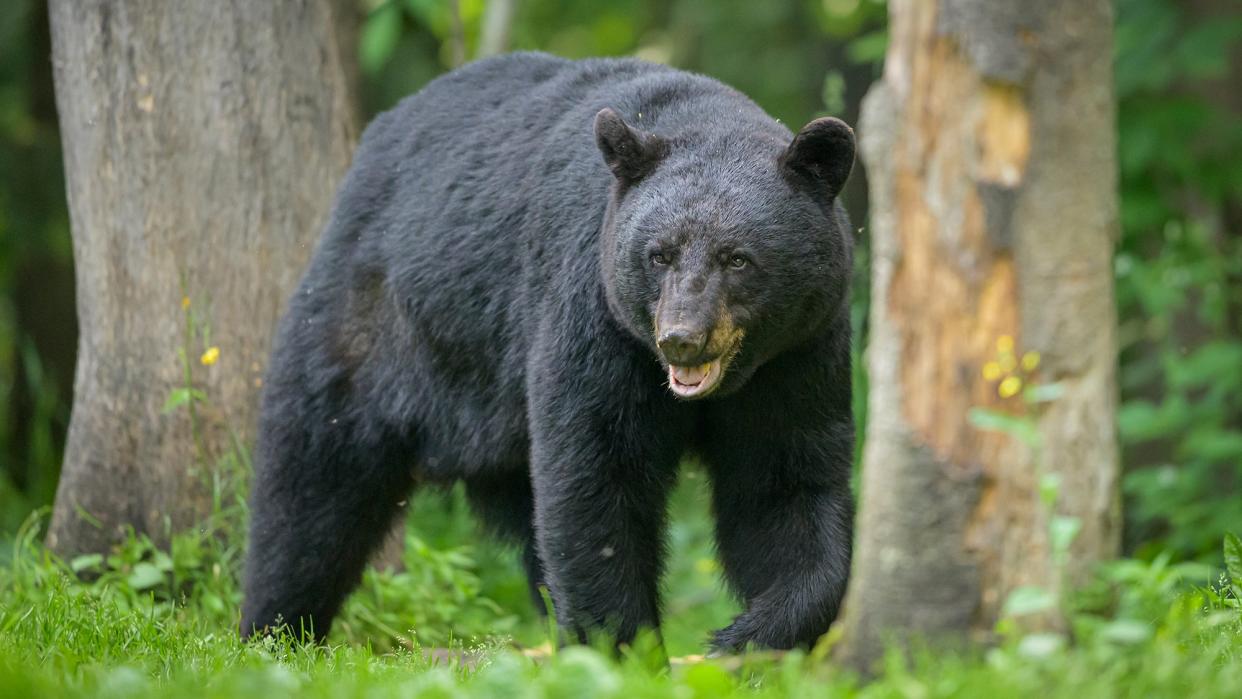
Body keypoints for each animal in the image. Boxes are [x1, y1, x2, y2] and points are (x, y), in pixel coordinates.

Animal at [240, 51, 854, 655]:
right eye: (658, 254)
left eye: (738, 258)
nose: (681, 337)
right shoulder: (595, 316)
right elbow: (596, 473)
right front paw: (623, 646)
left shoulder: (797, 354)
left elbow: (784, 484)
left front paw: (748, 636)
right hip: (371, 327)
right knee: (313, 485)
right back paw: (274, 631)